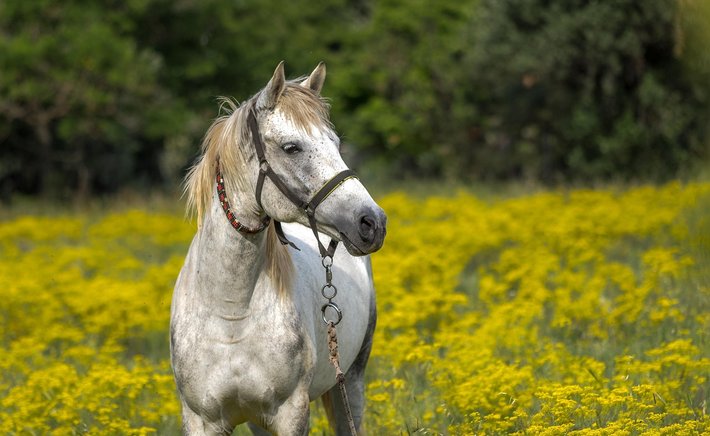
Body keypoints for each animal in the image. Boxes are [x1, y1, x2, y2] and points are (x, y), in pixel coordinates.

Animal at [170, 61, 387, 435]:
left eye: (336, 143)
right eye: (291, 147)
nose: (372, 223)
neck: (231, 313)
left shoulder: (290, 413)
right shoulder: (202, 420)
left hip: (352, 381)